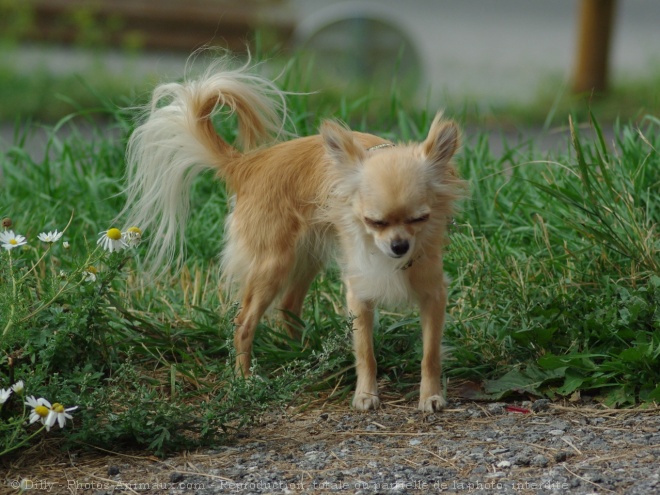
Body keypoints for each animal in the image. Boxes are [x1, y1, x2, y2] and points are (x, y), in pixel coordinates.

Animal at [120, 58, 464, 412]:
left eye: (420, 218)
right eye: (374, 222)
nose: (399, 246)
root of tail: (248, 165)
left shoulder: (433, 294)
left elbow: (430, 353)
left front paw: (431, 395)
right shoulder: (359, 295)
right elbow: (365, 352)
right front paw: (366, 395)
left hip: (305, 258)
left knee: (288, 307)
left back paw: (303, 356)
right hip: (272, 264)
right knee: (243, 323)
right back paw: (245, 379)